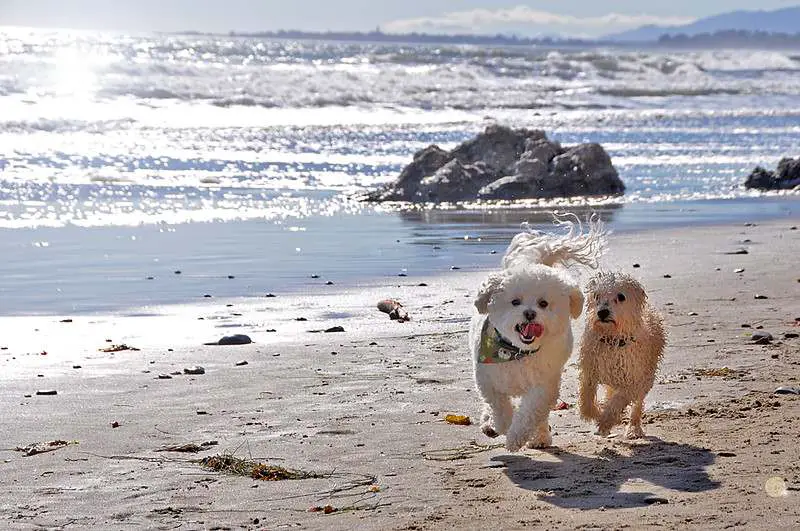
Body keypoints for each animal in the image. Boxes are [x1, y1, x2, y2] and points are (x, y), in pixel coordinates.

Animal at [468, 216, 608, 454]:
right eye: (515, 302)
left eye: (543, 303)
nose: (530, 313)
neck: (516, 352)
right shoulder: (487, 379)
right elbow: (498, 405)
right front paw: (502, 424)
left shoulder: (544, 385)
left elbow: (530, 412)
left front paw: (515, 437)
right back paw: (490, 424)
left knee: (539, 416)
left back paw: (540, 437)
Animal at [580, 272, 664, 438]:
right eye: (597, 295)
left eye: (621, 297)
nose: (602, 312)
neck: (613, 339)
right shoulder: (590, 371)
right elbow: (586, 401)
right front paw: (597, 414)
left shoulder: (634, 380)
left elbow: (619, 400)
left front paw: (605, 421)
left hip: (646, 377)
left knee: (637, 404)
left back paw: (633, 429)